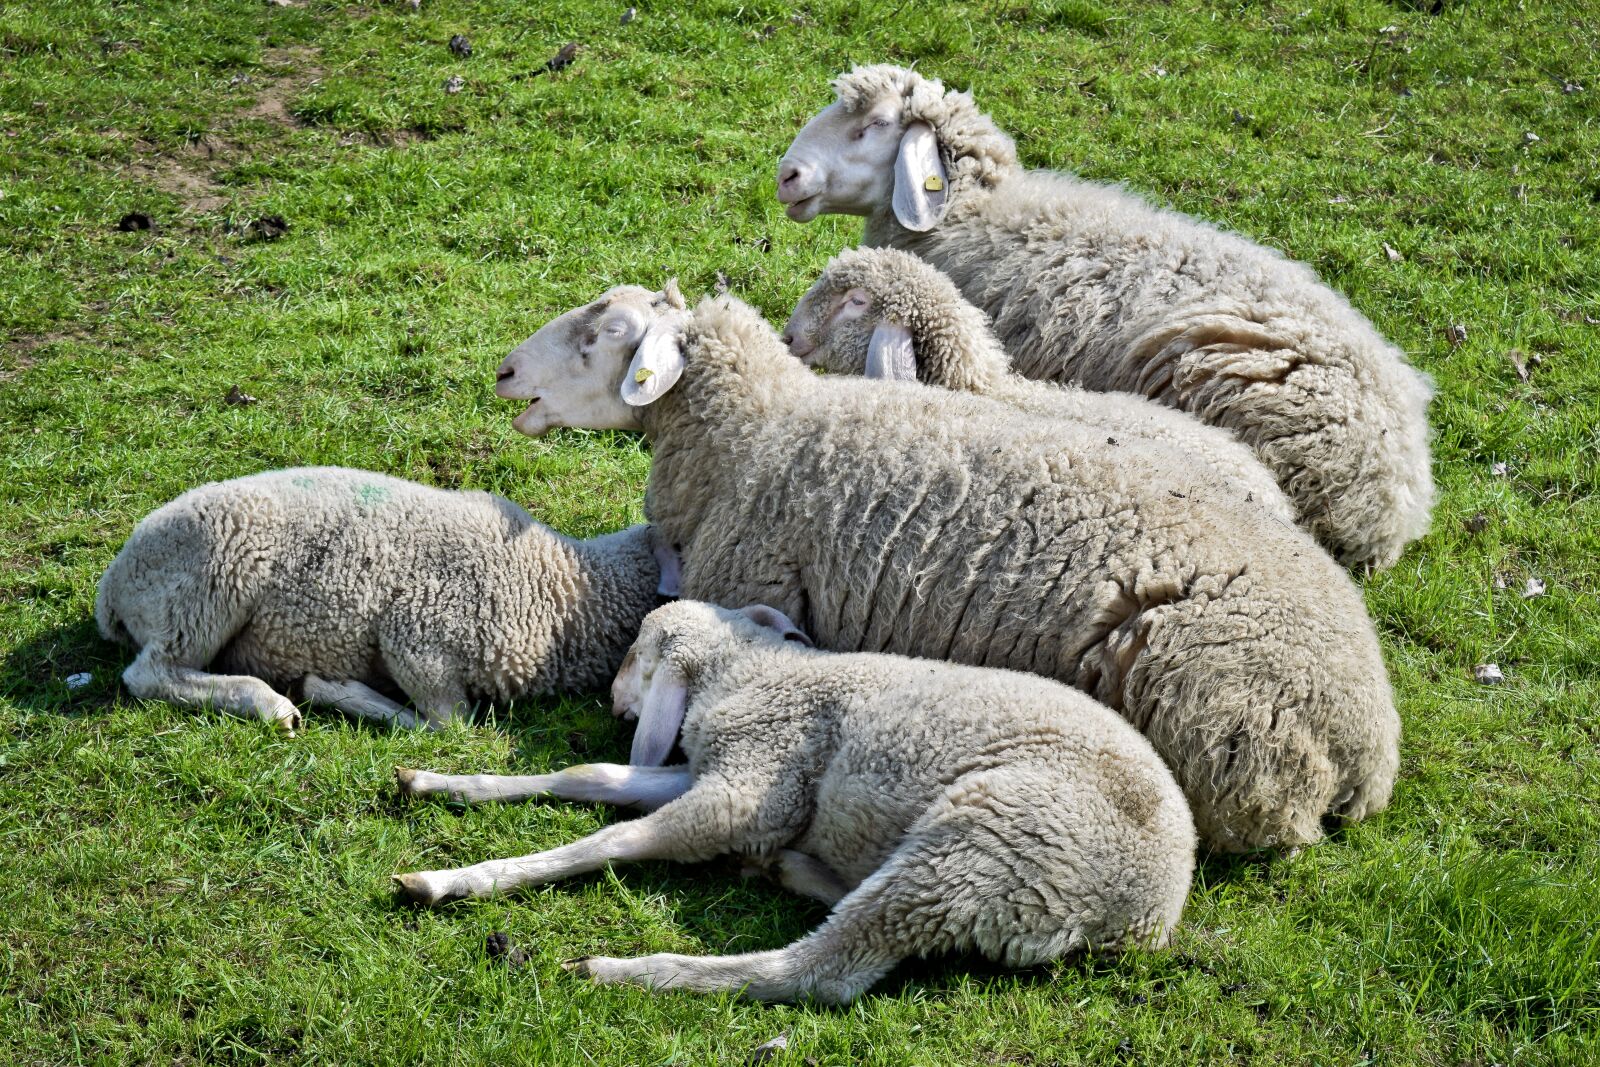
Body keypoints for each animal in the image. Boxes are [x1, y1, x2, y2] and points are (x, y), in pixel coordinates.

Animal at [95, 467, 672, 733]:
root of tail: (113, 585)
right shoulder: (418, 638)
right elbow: (447, 725)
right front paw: (332, 689)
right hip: (211, 576)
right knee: (153, 673)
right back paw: (270, 704)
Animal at [392, 599, 1197, 1005]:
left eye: (633, 655)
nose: (615, 703)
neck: (755, 670)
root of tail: (1147, 914)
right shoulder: (730, 769)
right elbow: (588, 776)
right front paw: (442, 782)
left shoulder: (749, 787)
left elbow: (612, 841)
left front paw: (459, 878)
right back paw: (789, 871)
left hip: (994, 839)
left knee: (820, 974)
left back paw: (626, 970)